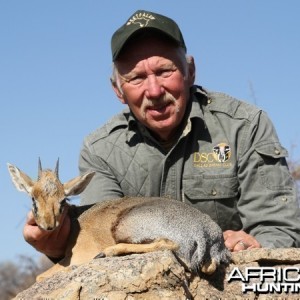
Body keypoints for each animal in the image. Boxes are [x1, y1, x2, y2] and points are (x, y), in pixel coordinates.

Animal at [8, 159, 231, 282]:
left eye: (63, 200)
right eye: (33, 199)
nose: (48, 226)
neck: (75, 221)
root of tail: (208, 234)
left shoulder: (77, 255)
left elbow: (39, 276)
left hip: (126, 227)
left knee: (167, 244)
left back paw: (107, 253)